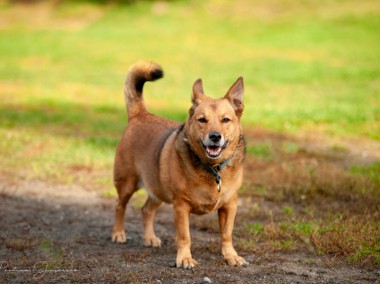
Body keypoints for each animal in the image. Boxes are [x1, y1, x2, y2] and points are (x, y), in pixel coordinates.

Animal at [110, 60, 246, 268]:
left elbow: (226, 234)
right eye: (202, 120)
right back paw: (118, 233)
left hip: (157, 189)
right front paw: (185, 258)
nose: (215, 136)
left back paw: (150, 238)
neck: (213, 168)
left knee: (146, 210)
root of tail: (140, 114)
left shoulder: (230, 205)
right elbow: (184, 236)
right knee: (120, 206)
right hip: (127, 184)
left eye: (226, 120)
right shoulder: (181, 206)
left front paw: (230, 256)